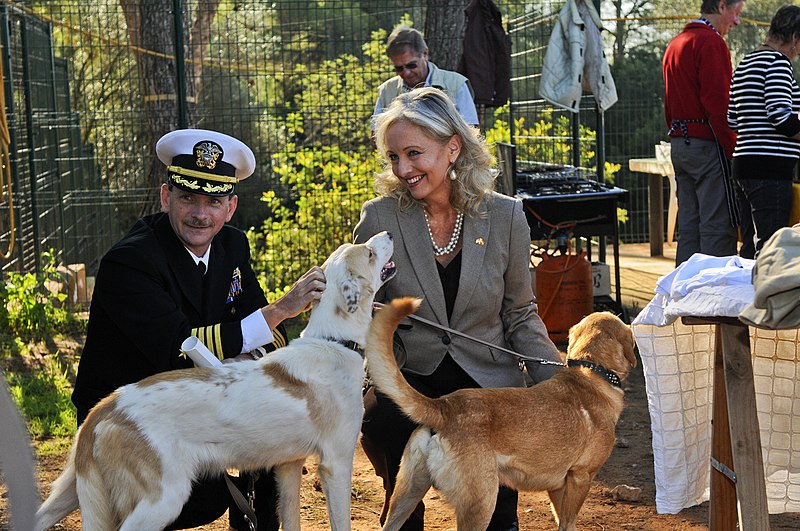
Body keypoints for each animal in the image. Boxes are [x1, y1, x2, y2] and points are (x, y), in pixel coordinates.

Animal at [35, 232, 396, 531]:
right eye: (368, 253)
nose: (389, 233)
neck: (333, 341)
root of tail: (105, 409)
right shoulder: (336, 464)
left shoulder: (288, 467)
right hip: (161, 500)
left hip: (72, 492)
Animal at [368, 300, 636, 531]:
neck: (592, 372)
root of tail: (444, 406)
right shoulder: (581, 477)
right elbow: (569, 523)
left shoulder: (558, 487)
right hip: (481, 503)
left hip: (405, 497)